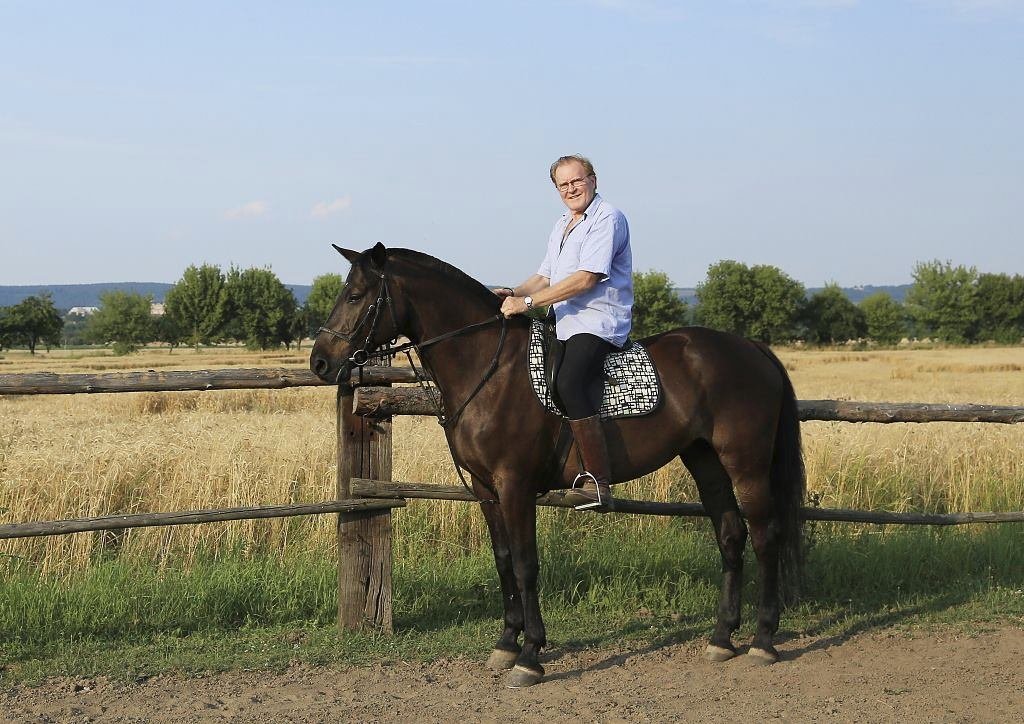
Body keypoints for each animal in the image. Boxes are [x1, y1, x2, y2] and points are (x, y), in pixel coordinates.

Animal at [307, 244, 802, 692]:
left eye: (355, 295)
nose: (320, 362)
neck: (489, 368)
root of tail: (751, 347)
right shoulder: (486, 489)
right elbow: (504, 560)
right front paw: (506, 645)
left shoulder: (515, 485)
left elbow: (527, 564)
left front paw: (530, 657)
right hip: (705, 460)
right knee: (731, 535)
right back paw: (722, 638)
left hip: (746, 464)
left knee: (766, 537)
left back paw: (763, 640)